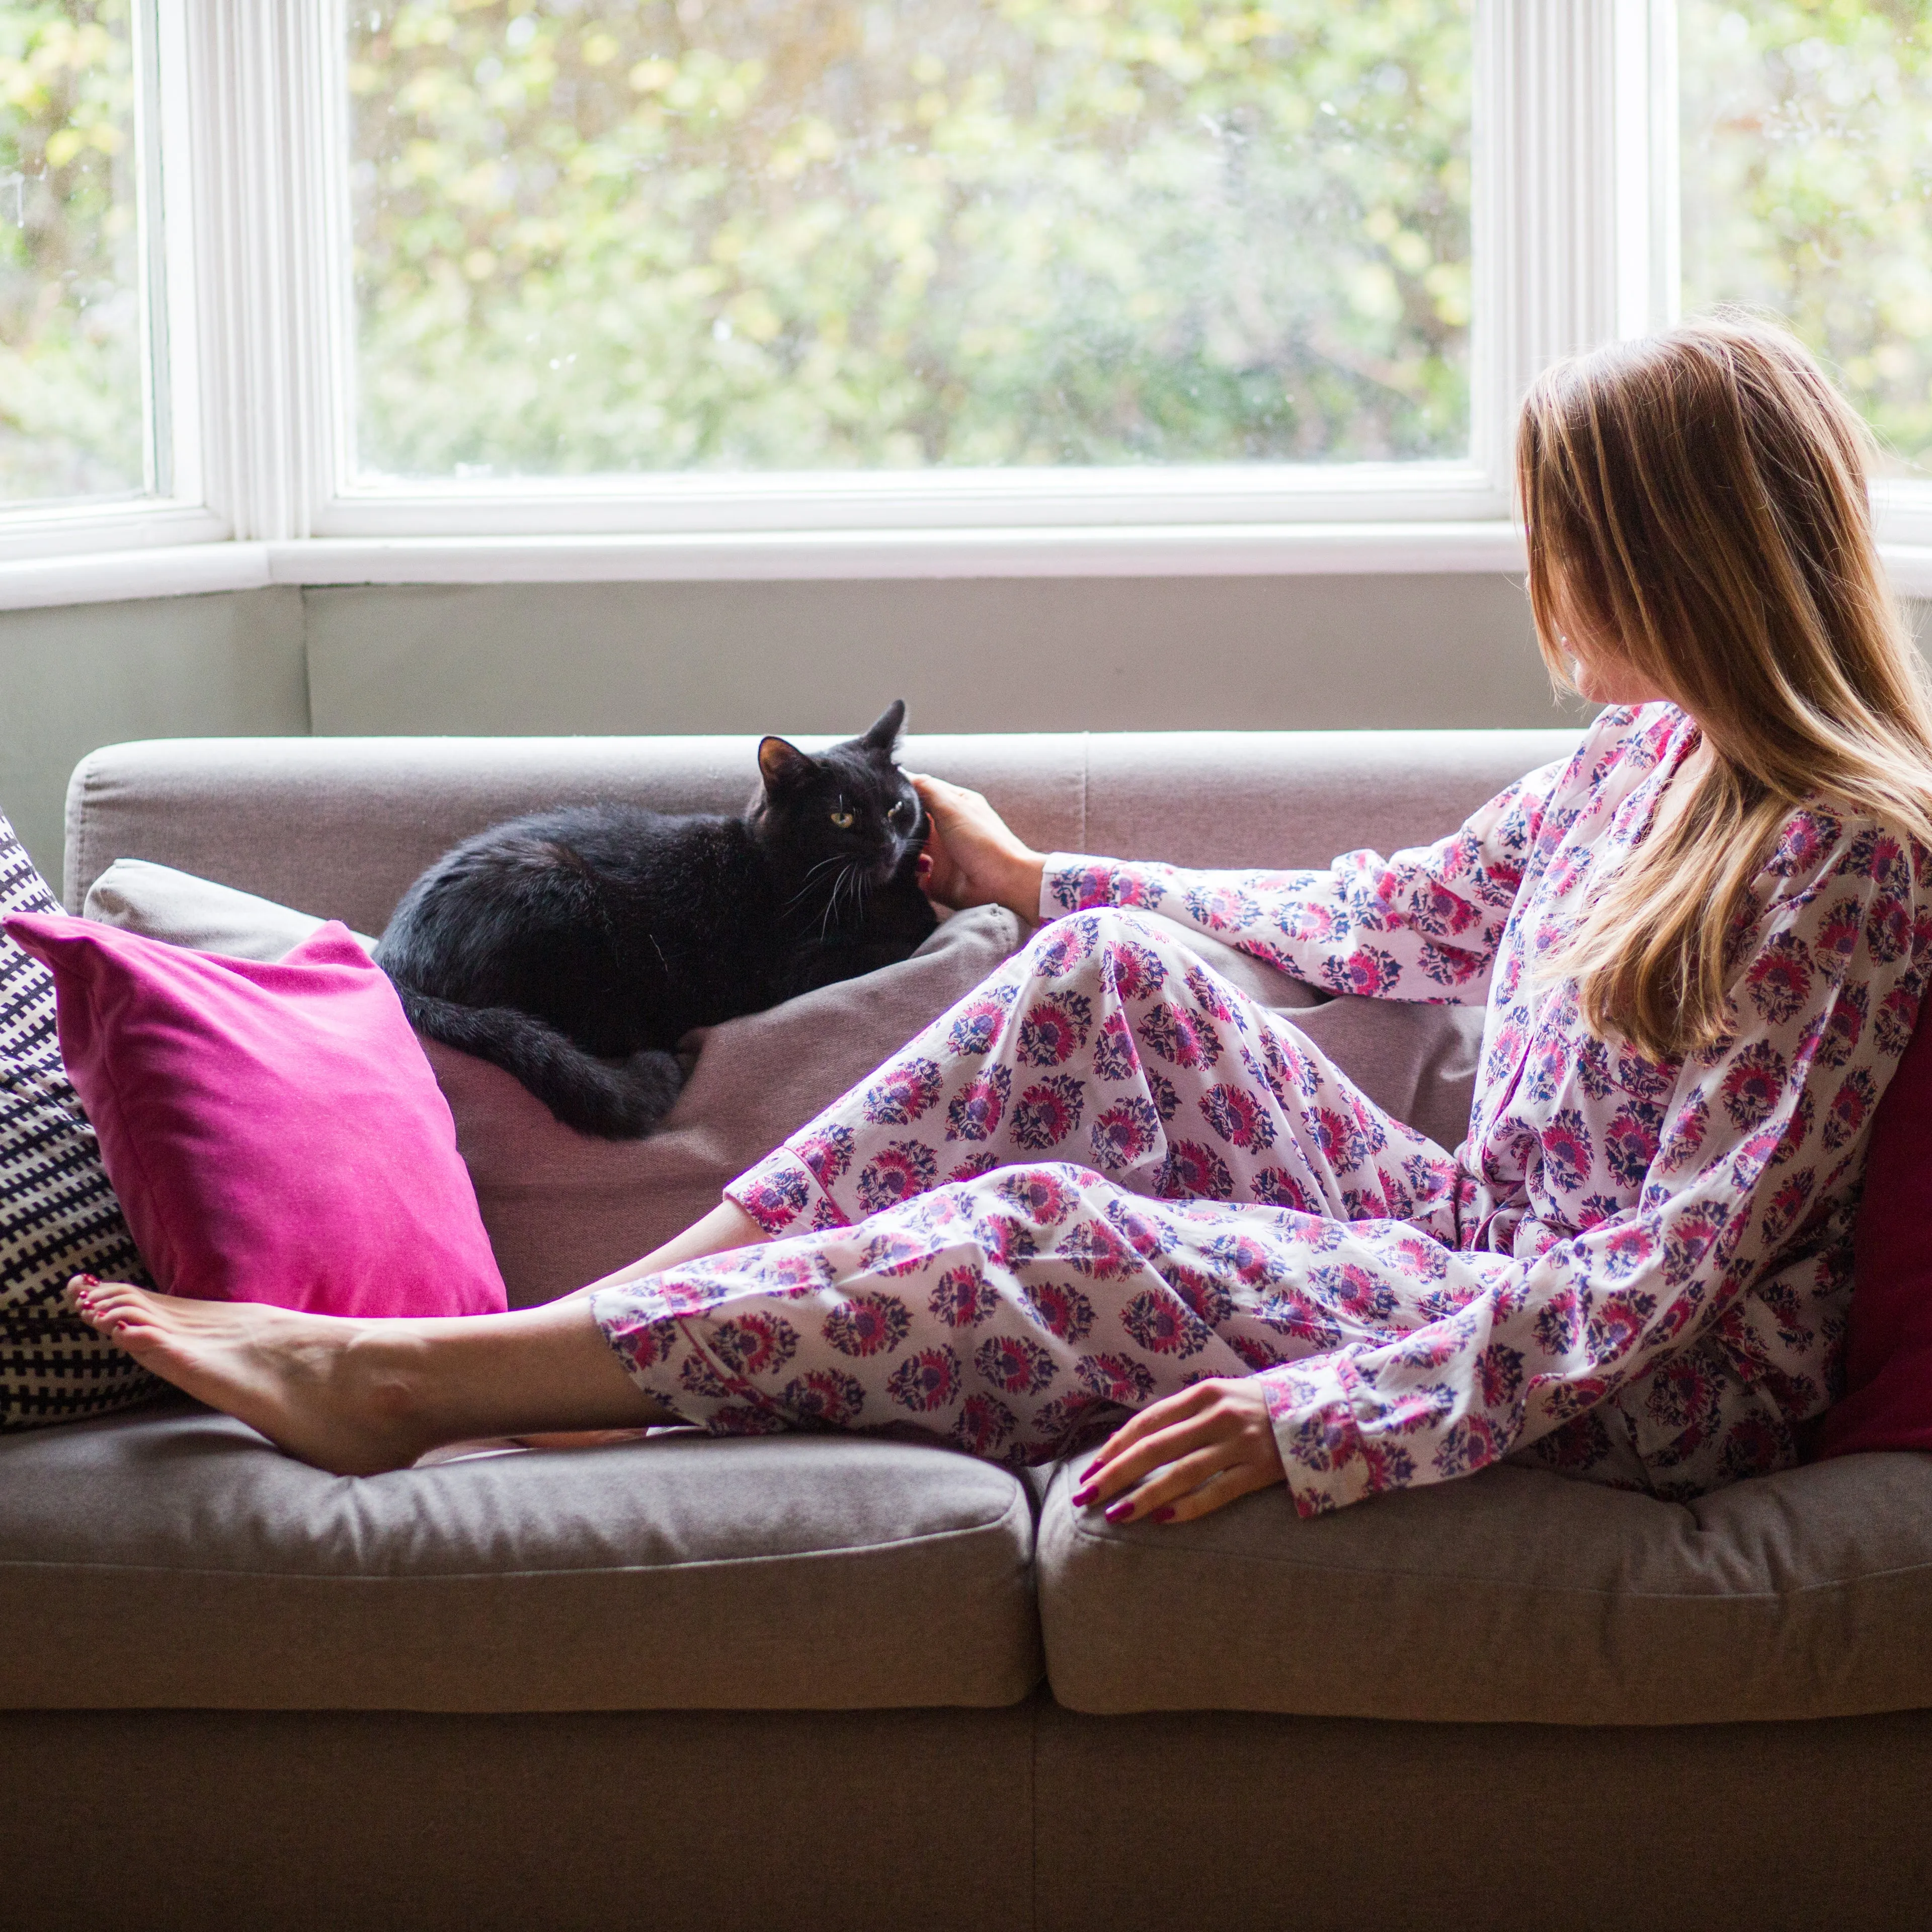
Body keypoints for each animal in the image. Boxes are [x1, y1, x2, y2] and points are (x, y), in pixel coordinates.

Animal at [374, 707, 935, 1128]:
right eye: (842, 817)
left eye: (895, 809)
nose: (887, 845)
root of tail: (390, 960)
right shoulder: (790, 970)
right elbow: (898, 940)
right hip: (564, 900)